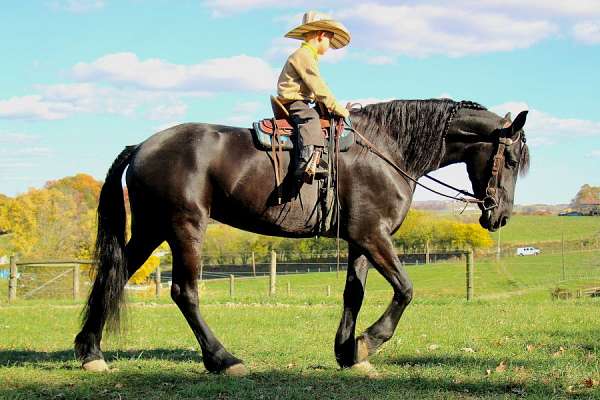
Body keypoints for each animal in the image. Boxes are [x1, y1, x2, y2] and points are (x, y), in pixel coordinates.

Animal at [75, 99, 528, 376]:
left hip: (151, 230)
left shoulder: (360, 239)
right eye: (511, 158)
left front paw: (348, 352)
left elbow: (353, 294)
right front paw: (368, 343)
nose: (501, 215)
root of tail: (142, 146)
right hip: (185, 228)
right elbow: (405, 290)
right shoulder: (374, 235)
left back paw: (90, 352)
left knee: (113, 277)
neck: (387, 151)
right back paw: (223, 359)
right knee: (184, 292)